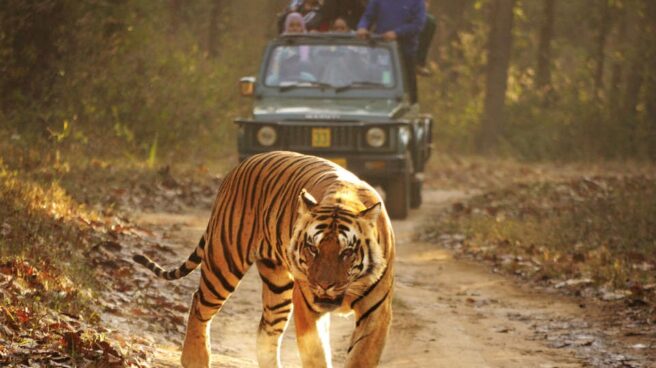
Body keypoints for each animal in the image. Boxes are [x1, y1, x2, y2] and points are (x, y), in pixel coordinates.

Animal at [133, 150, 394, 368]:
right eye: (312, 248)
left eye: (346, 252)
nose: (323, 285)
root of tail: (240, 165)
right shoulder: (307, 305)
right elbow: (316, 355)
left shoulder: (376, 312)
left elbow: (361, 357)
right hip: (224, 260)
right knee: (199, 302)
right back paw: (195, 359)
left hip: (277, 285)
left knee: (266, 331)